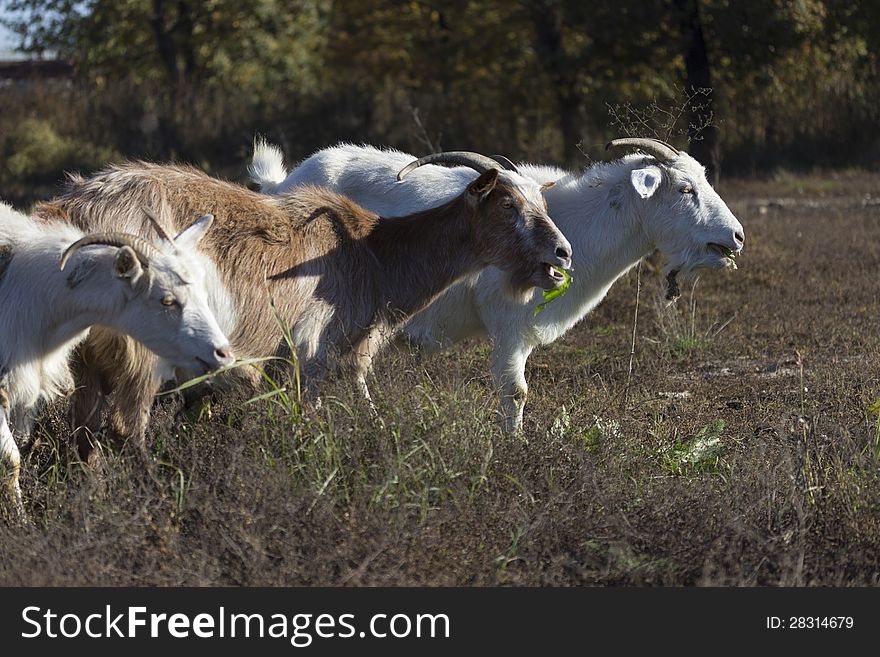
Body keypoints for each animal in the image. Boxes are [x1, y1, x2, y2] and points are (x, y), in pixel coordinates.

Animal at [37, 160, 572, 448]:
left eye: (543, 204)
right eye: (508, 205)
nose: (563, 253)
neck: (371, 253)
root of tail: (71, 209)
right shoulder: (309, 350)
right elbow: (309, 418)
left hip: (89, 358)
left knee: (84, 433)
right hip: (140, 347)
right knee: (126, 427)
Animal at [251, 138, 744, 430]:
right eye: (684, 189)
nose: (736, 237)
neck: (574, 222)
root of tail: (279, 186)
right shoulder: (509, 325)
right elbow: (516, 391)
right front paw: (515, 445)